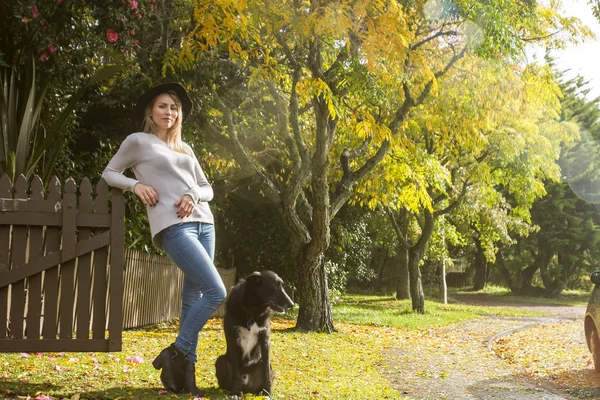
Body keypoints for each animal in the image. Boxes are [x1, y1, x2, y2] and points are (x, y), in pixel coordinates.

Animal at [216, 270, 296, 398]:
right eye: (274, 286)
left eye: (282, 285)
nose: (292, 304)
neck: (252, 311)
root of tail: (246, 386)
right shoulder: (233, 340)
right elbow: (236, 372)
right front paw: (235, 393)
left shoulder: (265, 341)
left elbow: (266, 371)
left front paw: (267, 392)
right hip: (220, 360)